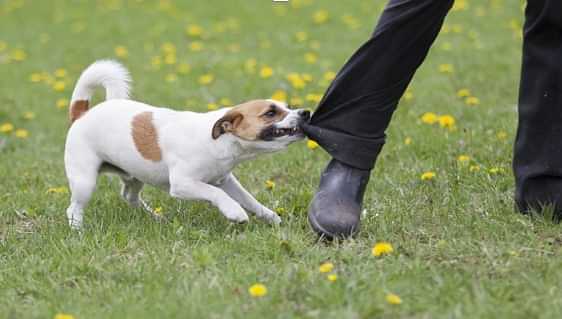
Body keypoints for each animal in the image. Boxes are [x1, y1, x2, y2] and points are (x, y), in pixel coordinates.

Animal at [63, 60, 308, 230]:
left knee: (129, 197)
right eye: (270, 113)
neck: (216, 141)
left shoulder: (226, 181)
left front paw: (271, 217)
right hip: (85, 181)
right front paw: (235, 212)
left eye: (288, 106)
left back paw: (155, 217)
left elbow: (250, 199)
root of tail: (81, 113)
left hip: (135, 176)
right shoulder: (183, 184)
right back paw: (78, 230)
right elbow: (216, 194)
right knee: (73, 208)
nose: (305, 112)